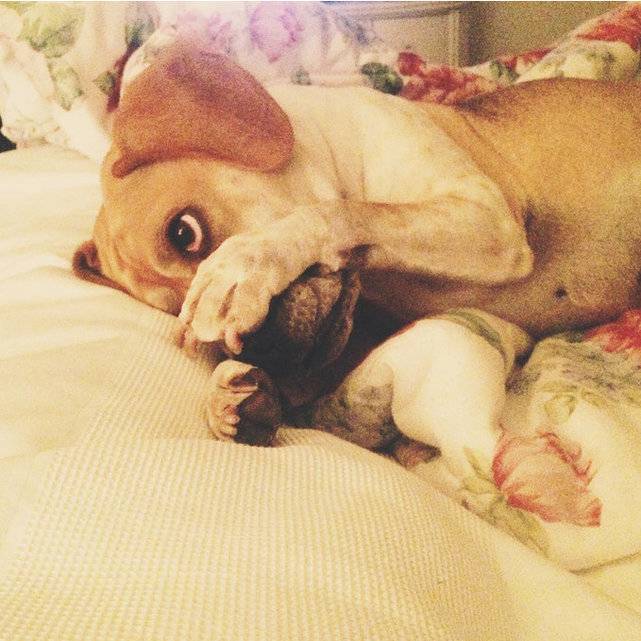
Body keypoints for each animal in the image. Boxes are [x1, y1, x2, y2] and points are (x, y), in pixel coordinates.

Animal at [74, 35, 641, 445]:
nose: (263, 352)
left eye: (184, 232)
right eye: (174, 314)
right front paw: (228, 398)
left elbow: (338, 213)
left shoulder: (488, 218)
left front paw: (243, 269)